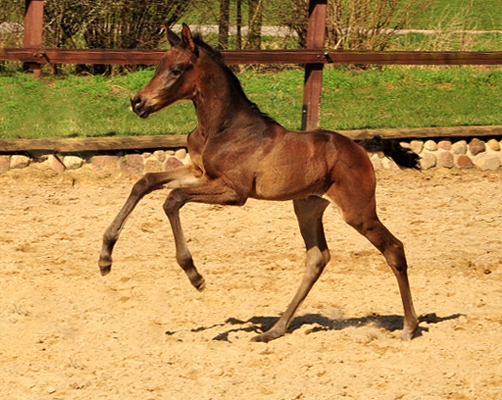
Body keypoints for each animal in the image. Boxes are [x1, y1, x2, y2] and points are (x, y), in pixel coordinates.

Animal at [98, 24, 420, 344]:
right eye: (158, 65)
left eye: (176, 69)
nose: (137, 102)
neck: (221, 127)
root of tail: (360, 149)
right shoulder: (200, 172)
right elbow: (145, 182)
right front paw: (105, 259)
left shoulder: (234, 191)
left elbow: (173, 199)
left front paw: (195, 276)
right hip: (307, 207)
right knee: (317, 258)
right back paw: (274, 330)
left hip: (358, 212)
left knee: (394, 249)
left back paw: (409, 327)